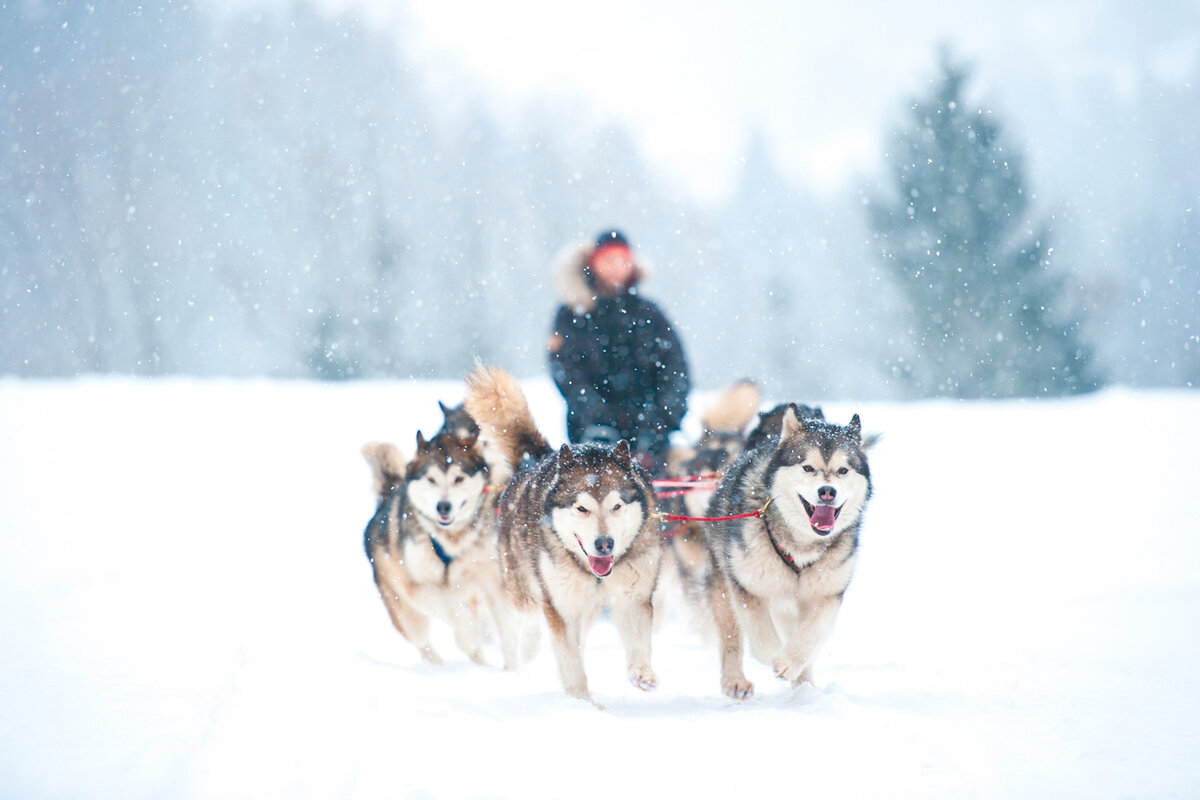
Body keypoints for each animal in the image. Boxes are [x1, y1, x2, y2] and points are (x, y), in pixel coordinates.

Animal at [360, 424, 520, 671]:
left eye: (459, 478)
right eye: (431, 479)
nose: (443, 506)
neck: (451, 539)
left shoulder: (494, 581)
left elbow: (508, 631)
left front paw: (513, 670)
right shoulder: (417, 587)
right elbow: (452, 607)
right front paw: (467, 634)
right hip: (406, 614)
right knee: (424, 643)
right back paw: (440, 666)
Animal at [460, 362, 667, 700]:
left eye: (617, 506)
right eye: (581, 508)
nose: (605, 544)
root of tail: (543, 457)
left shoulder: (633, 595)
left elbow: (636, 637)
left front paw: (641, 673)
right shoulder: (560, 604)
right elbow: (568, 656)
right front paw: (580, 699)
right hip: (523, 582)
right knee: (529, 615)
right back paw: (528, 647)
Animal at [696, 407, 873, 700]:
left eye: (843, 470)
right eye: (808, 467)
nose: (828, 492)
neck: (801, 545)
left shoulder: (828, 594)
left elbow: (812, 633)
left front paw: (791, 662)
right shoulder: (746, 587)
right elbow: (760, 641)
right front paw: (775, 657)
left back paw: (805, 688)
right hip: (724, 585)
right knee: (732, 636)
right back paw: (735, 680)